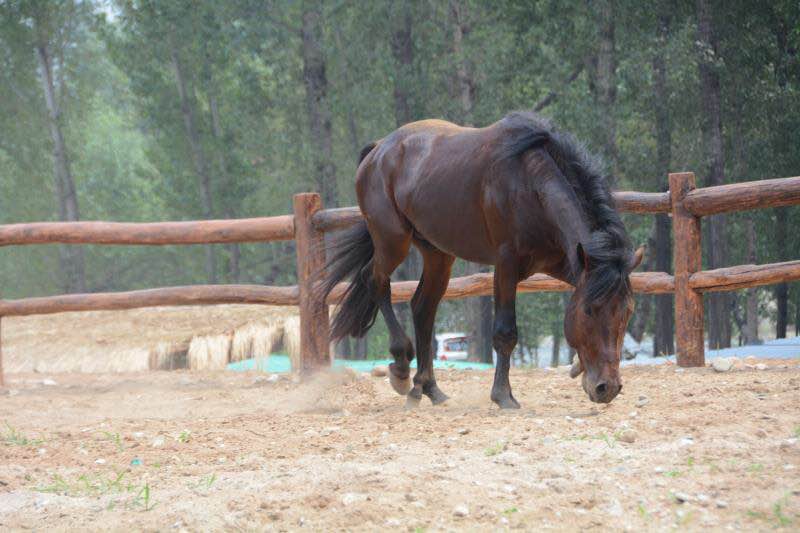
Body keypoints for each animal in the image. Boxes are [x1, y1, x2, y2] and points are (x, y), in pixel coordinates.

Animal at [320, 111, 644, 409]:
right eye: (589, 311)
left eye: (628, 311)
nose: (607, 388)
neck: (531, 182)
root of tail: (378, 150)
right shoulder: (506, 264)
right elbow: (505, 332)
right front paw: (503, 396)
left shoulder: (563, 263)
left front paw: (576, 366)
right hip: (393, 241)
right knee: (375, 281)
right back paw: (401, 368)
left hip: (438, 254)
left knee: (422, 308)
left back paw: (427, 388)